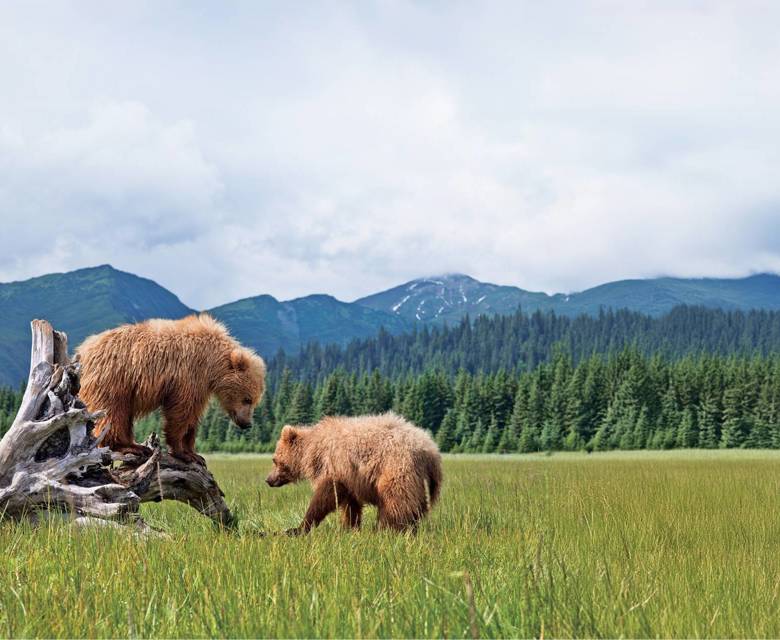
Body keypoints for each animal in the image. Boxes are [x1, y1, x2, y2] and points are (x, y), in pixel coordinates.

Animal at [76, 313, 266, 464]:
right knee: (112, 412)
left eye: (255, 401)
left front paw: (194, 452)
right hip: (113, 378)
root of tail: (82, 350)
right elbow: (181, 411)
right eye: (247, 399)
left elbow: (193, 415)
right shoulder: (188, 375)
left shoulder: (201, 385)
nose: (247, 423)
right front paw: (182, 452)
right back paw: (128, 447)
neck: (212, 365)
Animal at [266, 412, 442, 533]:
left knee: (396, 499)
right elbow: (350, 504)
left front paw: (301, 526)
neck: (312, 450)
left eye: (274, 459)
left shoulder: (333, 466)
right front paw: (350, 527)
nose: (268, 480)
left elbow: (325, 495)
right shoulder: (350, 476)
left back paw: (388, 528)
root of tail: (429, 449)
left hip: (396, 466)